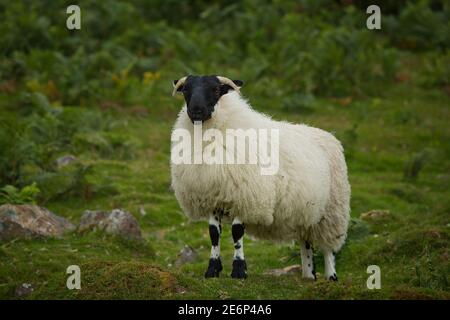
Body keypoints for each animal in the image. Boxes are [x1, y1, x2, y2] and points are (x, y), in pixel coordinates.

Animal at [171, 75, 350, 280]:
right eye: (186, 90)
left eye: (216, 90)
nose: (196, 110)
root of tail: (328, 134)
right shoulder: (213, 196)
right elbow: (214, 234)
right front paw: (212, 270)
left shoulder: (245, 196)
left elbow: (237, 233)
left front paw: (239, 270)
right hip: (306, 213)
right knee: (306, 243)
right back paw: (308, 275)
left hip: (332, 210)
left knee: (328, 247)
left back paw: (331, 276)